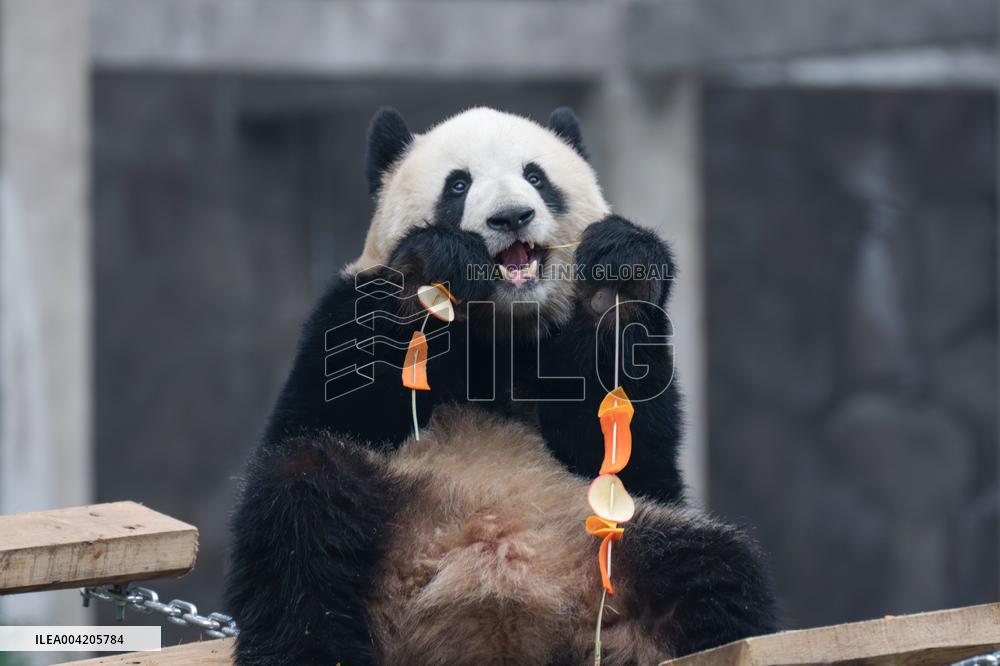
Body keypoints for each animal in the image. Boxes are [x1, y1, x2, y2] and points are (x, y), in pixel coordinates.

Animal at [226, 107, 777, 666]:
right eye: (458, 184)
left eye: (535, 176)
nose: (511, 216)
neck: (501, 326)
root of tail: (499, 627)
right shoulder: (346, 311)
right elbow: (330, 404)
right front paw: (431, 268)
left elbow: (631, 452)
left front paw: (617, 280)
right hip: (387, 517)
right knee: (300, 518)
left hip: (612, 542)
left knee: (714, 571)